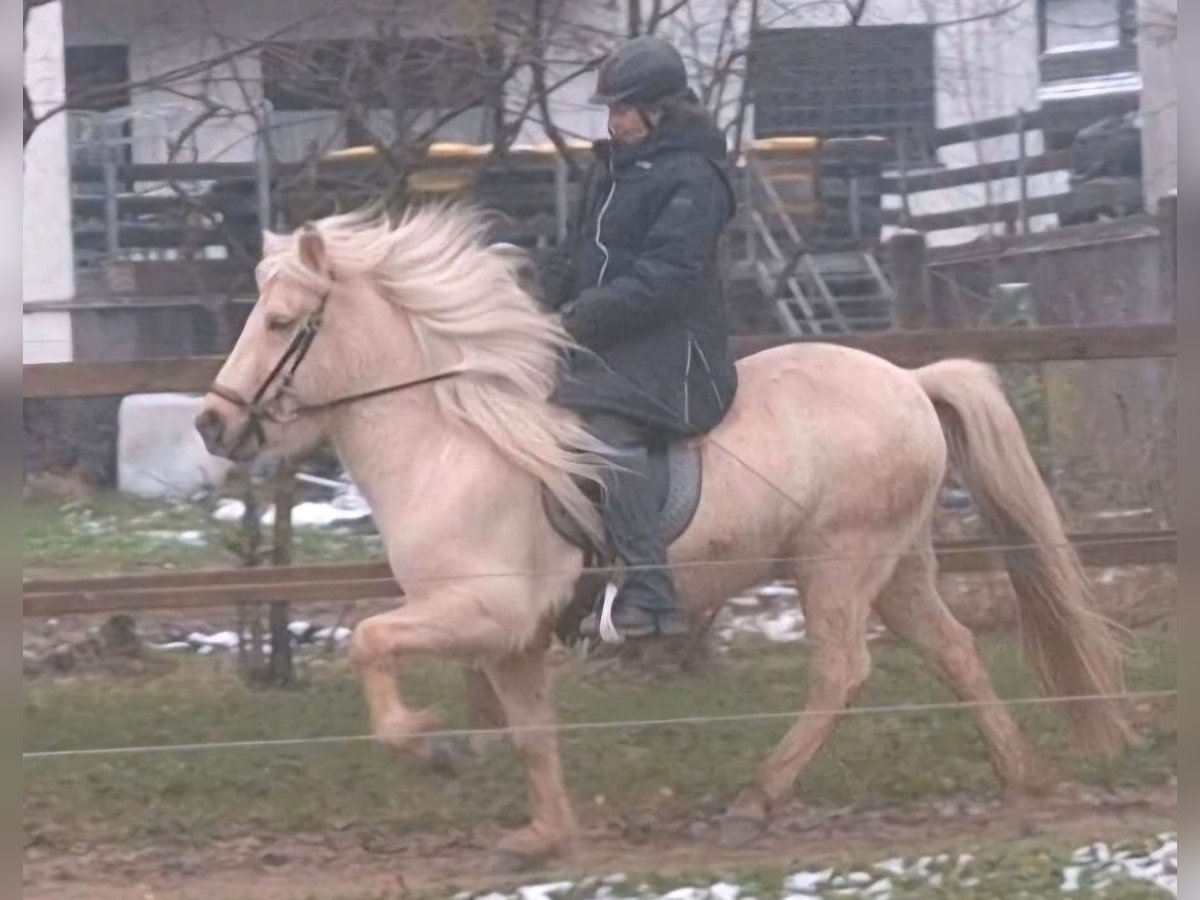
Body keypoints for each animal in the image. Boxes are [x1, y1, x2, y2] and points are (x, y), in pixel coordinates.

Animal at [194, 204, 1123, 868]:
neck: (450, 441)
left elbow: (369, 641)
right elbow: (531, 733)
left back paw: (757, 799)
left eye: (281, 322)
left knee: (841, 672)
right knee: (955, 651)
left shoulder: (483, 615)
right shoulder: (512, 641)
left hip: (837, 562)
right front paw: (543, 838)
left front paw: (432, 749)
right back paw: (1024, 777)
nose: (211, 423)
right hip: (897, 566)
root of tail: (910, 379)